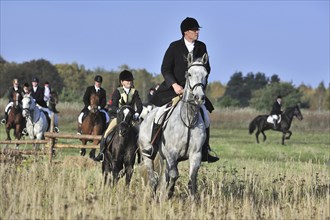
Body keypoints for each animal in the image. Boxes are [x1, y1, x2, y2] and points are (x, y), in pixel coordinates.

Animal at [139, 52, 209, 199]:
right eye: (189, 74)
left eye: (206, 74)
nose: (199, 98)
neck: (188, 119)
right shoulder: (172, 153)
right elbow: (174, 176)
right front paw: (168, 194)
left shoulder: (196, 154)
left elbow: (191, 180)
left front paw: (192, 201)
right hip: (148, 155)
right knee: (153, 179)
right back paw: (154, 198)